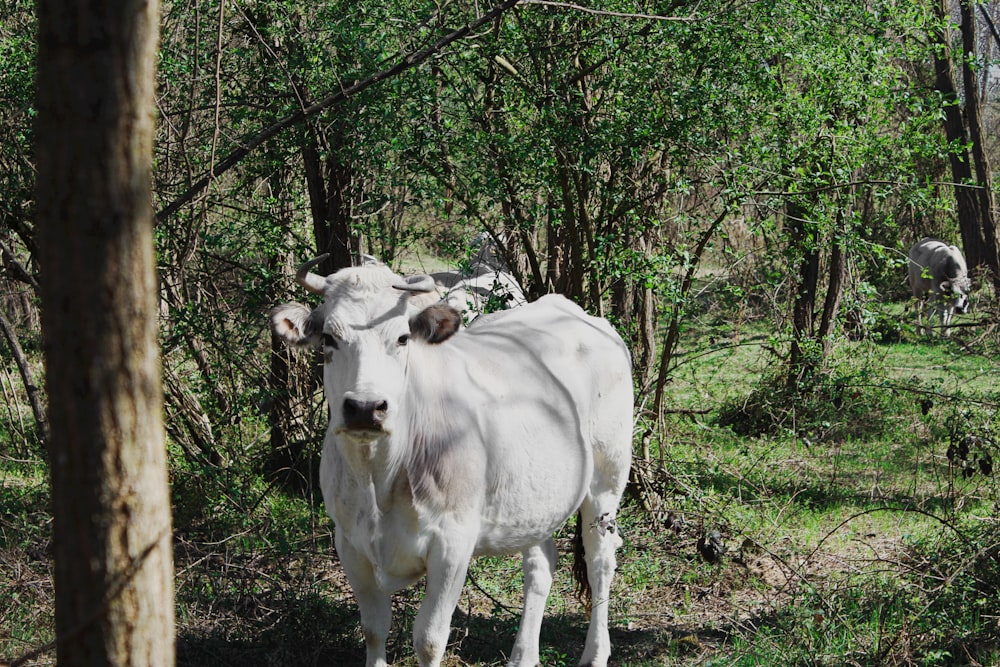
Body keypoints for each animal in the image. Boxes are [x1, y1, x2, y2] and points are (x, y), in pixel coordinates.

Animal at [268, 258, 632, 667]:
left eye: (402, 338)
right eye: (329, 338)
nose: (364, 407)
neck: (378, 479)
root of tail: (576, 312)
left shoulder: (452, 543)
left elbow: (429, 638)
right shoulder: (350, 542)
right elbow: (374, 629)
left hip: (607, 477)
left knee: (601, 559)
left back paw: (595, 653)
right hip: (537, 498)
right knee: (540, 565)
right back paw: (523, 656)